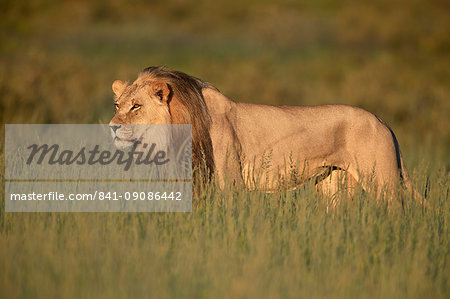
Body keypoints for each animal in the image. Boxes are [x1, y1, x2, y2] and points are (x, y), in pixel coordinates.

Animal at [110, 65, 424, 202]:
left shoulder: (229, 181)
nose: (112, 126)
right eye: (117, 105)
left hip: (383, 182)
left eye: (136, 106)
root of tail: (383, 121)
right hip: (334, 186)